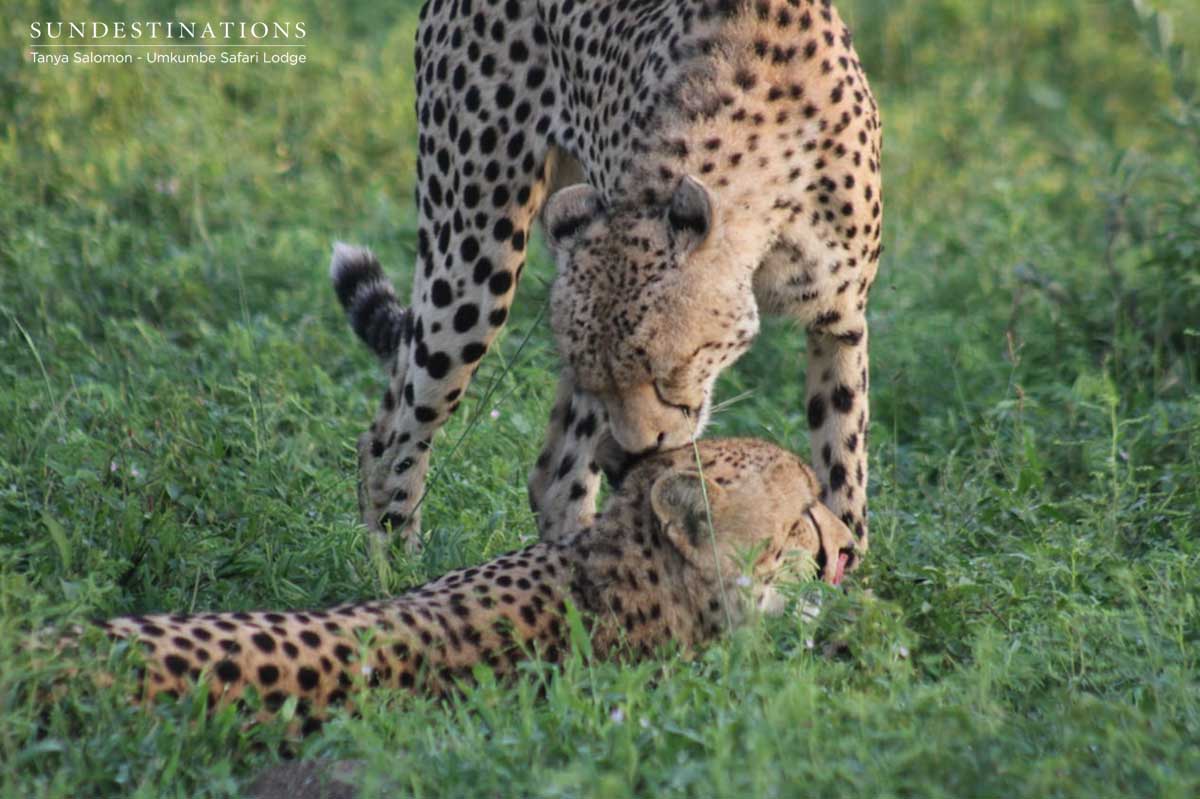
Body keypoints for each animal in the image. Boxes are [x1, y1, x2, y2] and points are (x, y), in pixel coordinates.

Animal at [333, 0, 882, 560]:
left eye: (668, 372)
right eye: (600, 382)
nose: (639, 451)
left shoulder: (840, 321)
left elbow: (843, 455)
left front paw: (844, 570)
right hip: (473, 256)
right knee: (399, 432)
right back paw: (398, 562)